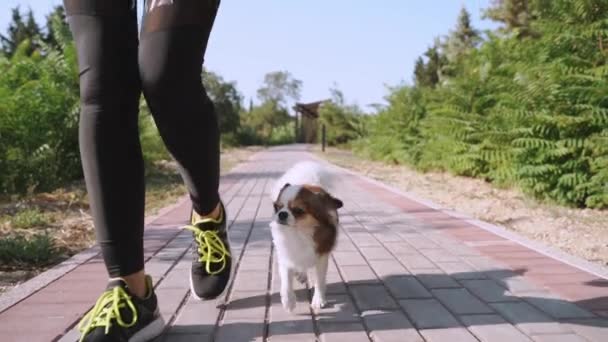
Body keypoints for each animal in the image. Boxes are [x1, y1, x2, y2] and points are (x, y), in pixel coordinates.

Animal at [270, 161, 342, 312]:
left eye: (298, 210)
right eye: (277, 207)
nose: (281, 214)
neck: (299, 232)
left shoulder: (321, 256)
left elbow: (319, 280)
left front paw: (318, 300)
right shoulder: (286, 255)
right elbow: (286, 281)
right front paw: (289, 301)